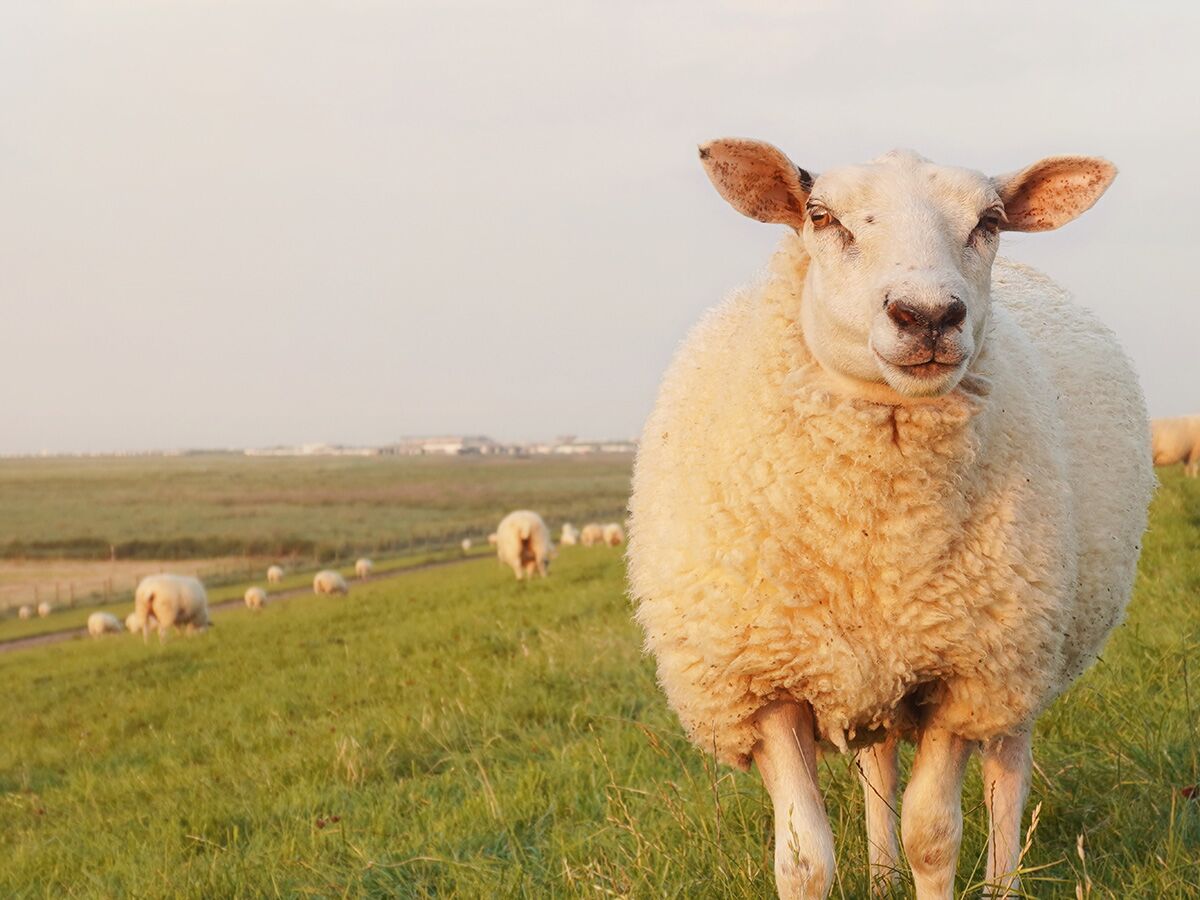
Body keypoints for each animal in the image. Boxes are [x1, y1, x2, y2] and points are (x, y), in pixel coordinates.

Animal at [627, 140, 1152, 900]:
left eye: (990, 220)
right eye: (821, 216)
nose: (928, 314)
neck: (877, 545)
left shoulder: (961, 672)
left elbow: (933, 837)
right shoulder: (767, 681)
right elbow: (804, 860)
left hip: (1021, 653)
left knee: (1008, 774)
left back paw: (1002, 883)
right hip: (879, 669)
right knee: (878, 769)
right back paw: (880, 878)